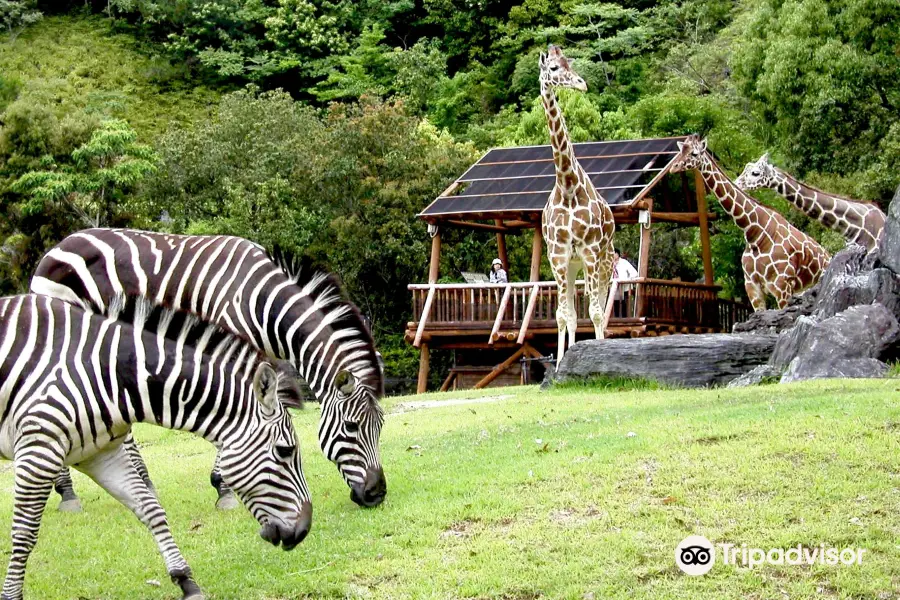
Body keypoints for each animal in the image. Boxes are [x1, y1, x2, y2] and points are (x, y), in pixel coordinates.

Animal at [0, 296, 312, 600]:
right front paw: (11, 594)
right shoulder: (39, 448)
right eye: (285, 451)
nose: (304, 530)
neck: (109, 372)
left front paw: (186, 581)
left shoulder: (99, 454)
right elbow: (25, 533)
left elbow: (151, 509)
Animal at [30, 227, 390, 508]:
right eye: (352, 428)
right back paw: (68, 493)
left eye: (380, 427)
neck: (260, 303)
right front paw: (225, 488)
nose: (376, 494)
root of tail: (62, 243)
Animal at [536, 44, 616, 364]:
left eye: (569, 62)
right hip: (572, 266)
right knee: (572, 312)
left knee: (602, 308)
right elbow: (562, 316)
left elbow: (595, 313)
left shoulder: (591, 251)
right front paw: (560, 365)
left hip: (604, 261)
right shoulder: (558, 255)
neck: (567, 185)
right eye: (554, 68)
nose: (581, 84)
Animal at [672, 136, 832, 312]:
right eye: (681, 150)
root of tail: (829, 256)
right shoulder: (752, 287)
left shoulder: (782, 286)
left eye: (694, 153)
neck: (754, 232)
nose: (674, 167)